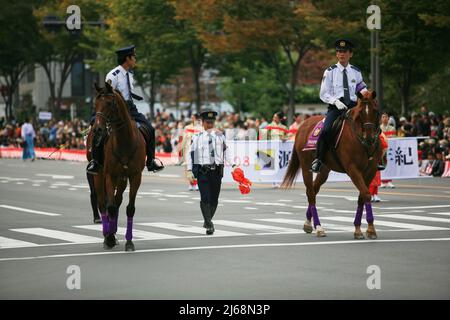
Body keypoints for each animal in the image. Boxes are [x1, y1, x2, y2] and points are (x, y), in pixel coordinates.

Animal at [86, 82, 146, 250]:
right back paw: (107, 234)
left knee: (117, 201)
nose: (98, 129)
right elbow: (110, 207)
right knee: (102, 203)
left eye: (109, 103)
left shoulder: (135, 176)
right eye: (95, 104)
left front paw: (129, 241)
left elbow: (129, 208)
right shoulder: (109, 175)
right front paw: (110, 238)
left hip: (122, 179)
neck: (124, 140)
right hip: (99, 176)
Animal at [284, 91, 382, 239]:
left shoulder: (370, 171)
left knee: (314, 190)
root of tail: (304, 124)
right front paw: (368, 229)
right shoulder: (353, 169)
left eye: (375, 111)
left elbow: (362, 197)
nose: (369, 137)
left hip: (325, 169)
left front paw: (361, 229)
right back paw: (318, 227)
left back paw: (308, 223)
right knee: (311, 193)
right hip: (306, 167)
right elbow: (365, 194)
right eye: (360, 113)